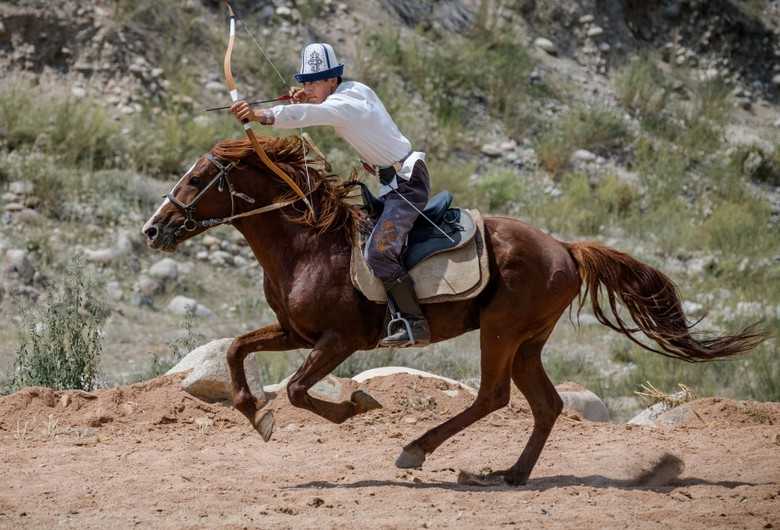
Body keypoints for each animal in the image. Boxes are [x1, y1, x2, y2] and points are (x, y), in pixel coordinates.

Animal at [142, 135, 760, 482]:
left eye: (200, 178)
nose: (153, 229)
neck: (311, 244)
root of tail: (565, 248)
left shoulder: (340, 341)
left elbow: (296, 389)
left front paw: (355, 407)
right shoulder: (294, 332)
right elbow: (237, 350)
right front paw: (256, 414)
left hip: (501, 331)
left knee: (494, 396)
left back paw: (416, 450)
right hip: (528, 341)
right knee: (546, 404)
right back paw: (510, 474)